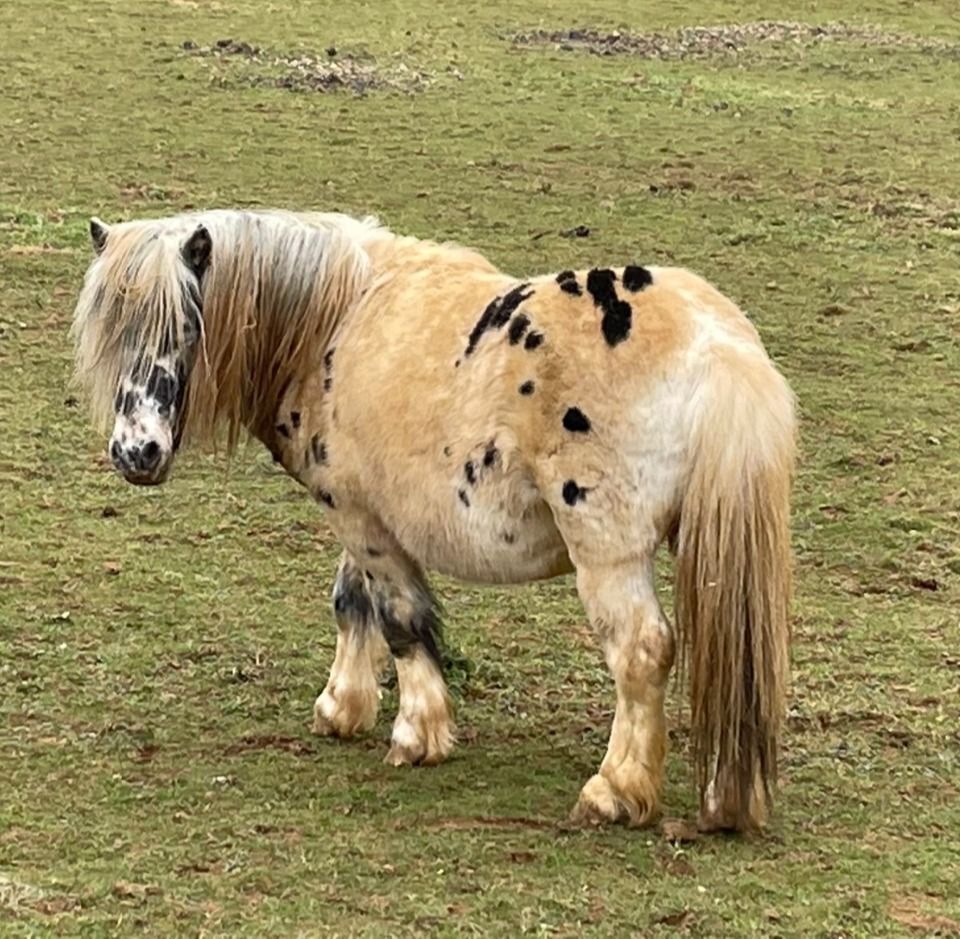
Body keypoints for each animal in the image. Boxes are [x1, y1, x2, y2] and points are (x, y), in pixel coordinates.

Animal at [71, 208, 795, 832]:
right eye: (111, 332)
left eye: (185, 327)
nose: (137, 453)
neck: (336, 317)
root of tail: (716, 344)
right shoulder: (364, 512)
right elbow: (351, 602)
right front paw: (342, 707)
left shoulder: (358, 518)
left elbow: (399, 618)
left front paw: (415, 733)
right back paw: (725, 798)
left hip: (608, 555)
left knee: (641, 652)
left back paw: (614, 791)